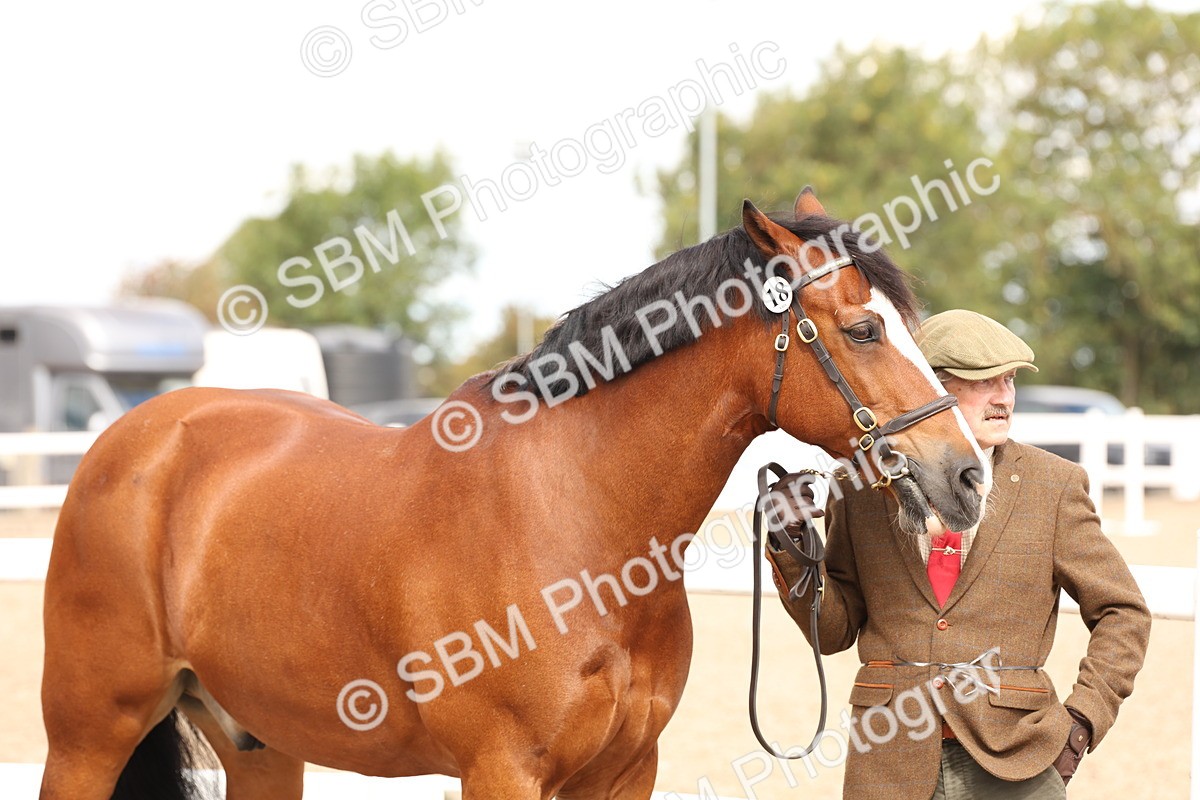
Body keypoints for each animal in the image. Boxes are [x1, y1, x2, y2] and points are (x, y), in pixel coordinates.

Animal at [40, 189, 989, 800]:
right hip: (89, 736)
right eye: (862, 330)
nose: (968, 474)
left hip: (262, 745)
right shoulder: (502, 771)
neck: (580, 525)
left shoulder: (624, 773)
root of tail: (136, 439)